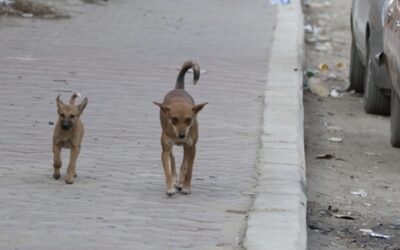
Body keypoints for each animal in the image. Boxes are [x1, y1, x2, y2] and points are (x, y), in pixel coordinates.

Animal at [154, 60, 208, 195]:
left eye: (189, 120)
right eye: (174, 119)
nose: (182, 135)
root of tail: (179, 89)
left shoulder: (192, 148)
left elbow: (189, 169)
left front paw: (186, 186)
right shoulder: (165, 150)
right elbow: (167, 171)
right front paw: (170, 187)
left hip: (187, 147)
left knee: (184, 163)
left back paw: (180, 182)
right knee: (173, 158)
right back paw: (175, 180)